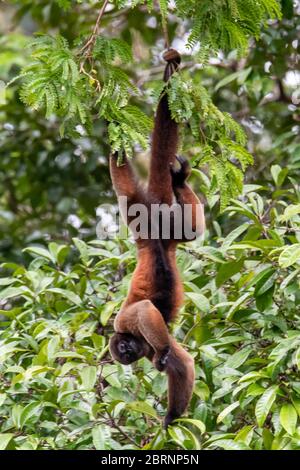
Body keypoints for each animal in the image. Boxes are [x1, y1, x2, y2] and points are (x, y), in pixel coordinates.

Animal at [109, 48, 205, 430]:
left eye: (123, 349)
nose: (127, 353)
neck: (140, 343)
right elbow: (183, 365)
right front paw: (171, 420)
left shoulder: (124, 322)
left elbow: (145, 311)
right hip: (169, 231)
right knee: (192, 232)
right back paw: (179, 181)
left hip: (142, 218)